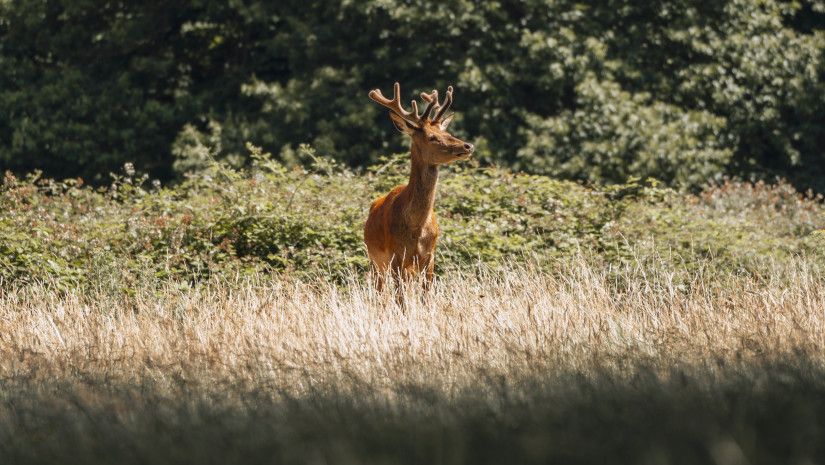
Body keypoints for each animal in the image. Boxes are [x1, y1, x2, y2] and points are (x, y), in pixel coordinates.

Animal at [364, 82, 474, 292]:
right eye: (432, 137)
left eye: (447, 133)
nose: (468, 146)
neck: (417, 230)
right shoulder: (395, 257)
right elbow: (400, 298)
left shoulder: (429, 257)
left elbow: (426, 295)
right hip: (375, 261)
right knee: (379, 291)